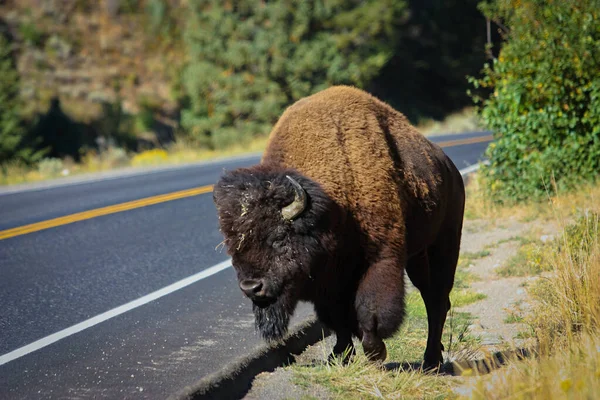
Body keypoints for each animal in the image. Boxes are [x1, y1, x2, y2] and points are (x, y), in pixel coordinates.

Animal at [213, 86, 466, 370]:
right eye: (232, 244)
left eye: (279, 237)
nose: (251, 287)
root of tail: (449, 167)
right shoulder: (326, 278)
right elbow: (337, 318)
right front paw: (340, 354)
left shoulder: (379, 259)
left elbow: (369, 309)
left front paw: (375, 352)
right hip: (418, 256)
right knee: (431, 296)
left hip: (444, 244)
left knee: (437, 300)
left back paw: (431, 359)